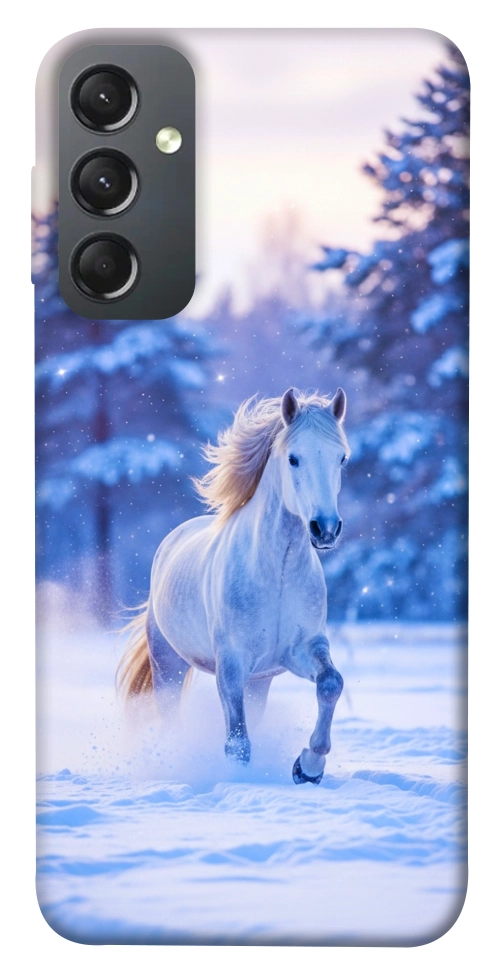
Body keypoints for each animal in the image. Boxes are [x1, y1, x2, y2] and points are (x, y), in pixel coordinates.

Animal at [118, 387, 350, 784]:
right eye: (293, 458)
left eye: (341, 459)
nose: (325, 529)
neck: (277, 573)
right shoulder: (231, 664)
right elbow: (237, 742)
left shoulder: (301, 649)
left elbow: (331, 683)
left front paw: (308, 767)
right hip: (168, 665)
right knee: (170, 717)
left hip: (259, 682)